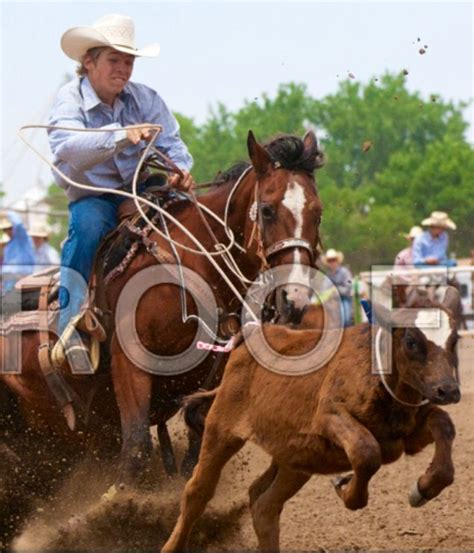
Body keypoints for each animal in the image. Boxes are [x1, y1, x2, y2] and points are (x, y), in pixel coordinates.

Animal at [161, 286, 462, 548]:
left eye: (455, 340)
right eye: (411, 341)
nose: (448, 389)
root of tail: (247, 337)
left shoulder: (407, 437)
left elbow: (443, 427)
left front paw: (423, 488)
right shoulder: (329, 417)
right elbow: (366, 452)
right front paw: (344, 486)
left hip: (297, 458)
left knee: (265, 503)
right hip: (221, 430)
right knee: (197, 492)